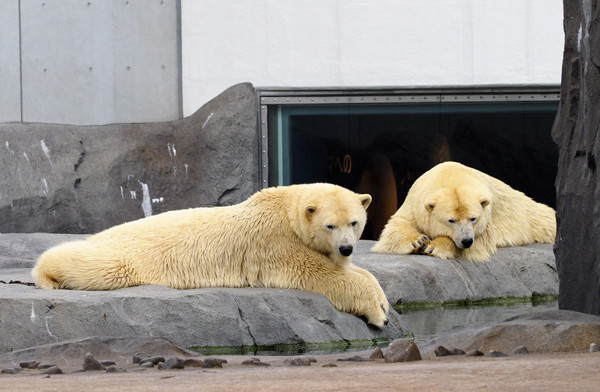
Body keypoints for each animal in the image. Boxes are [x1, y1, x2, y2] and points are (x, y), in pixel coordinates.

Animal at [31, 183, 390, 328]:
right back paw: (46, 274)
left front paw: (383, 299)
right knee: (94, 265)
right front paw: (378, 313)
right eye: (330, 225)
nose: (346, 247)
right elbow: (321, 274)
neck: (284, 210)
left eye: (355, 222)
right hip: (122, 255)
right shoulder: (276, 243)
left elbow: (355, 272)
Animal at [372, 161, 556, 262]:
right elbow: (395, 226)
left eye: (473, 218)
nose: (466, 240)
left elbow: (481, 242)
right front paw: (418, 241)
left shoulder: (487, 219)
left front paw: (433, 247)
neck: (451, 175)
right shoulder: (414, 202)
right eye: (451, 220)